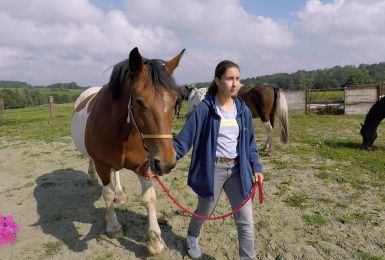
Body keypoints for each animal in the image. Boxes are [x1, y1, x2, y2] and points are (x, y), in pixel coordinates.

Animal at [72, 46, 186, 254]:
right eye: (139, 101)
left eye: (175, 101)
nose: (166, 163)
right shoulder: (102, 165)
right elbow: (107, 194)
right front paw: (113, 227)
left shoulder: (144, 165)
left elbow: (149, 198)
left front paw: (154, 240)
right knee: (92, 163)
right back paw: (92, 178)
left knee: (116, 173)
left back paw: (120, 194)